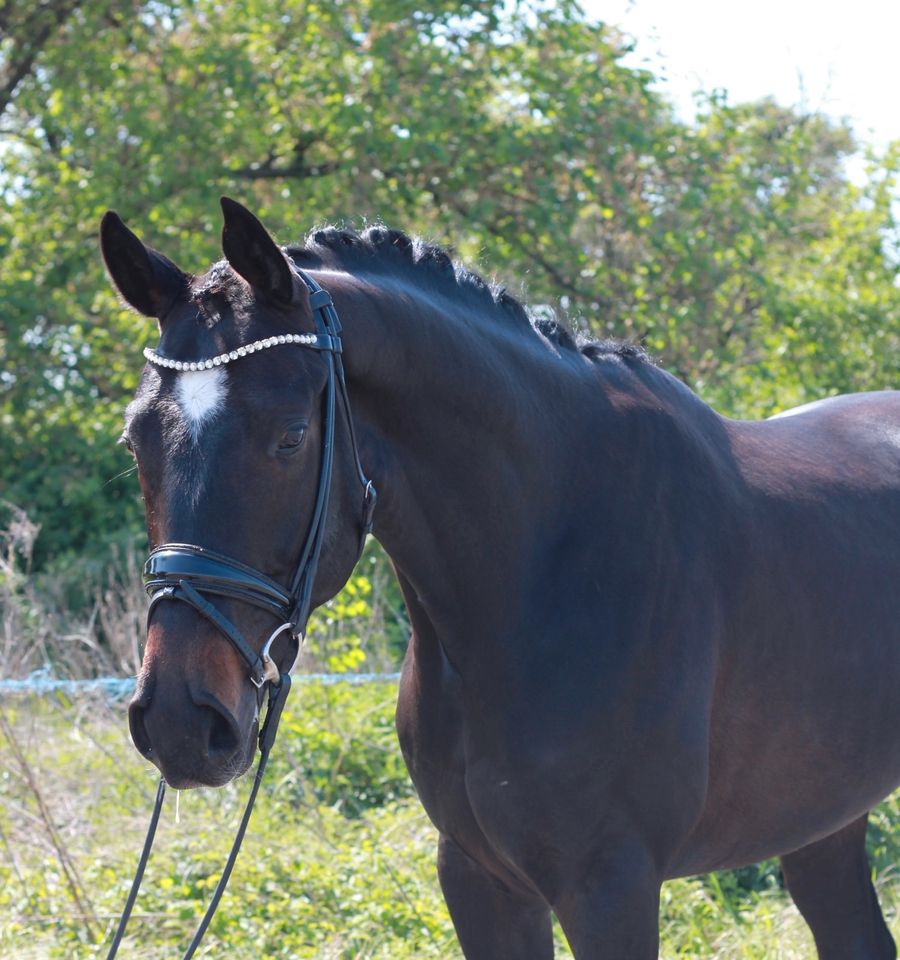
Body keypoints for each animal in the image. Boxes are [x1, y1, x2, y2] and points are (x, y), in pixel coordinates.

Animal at [100, 199, 900, 956]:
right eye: (137, 440)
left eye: (291, 437)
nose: (178, 720)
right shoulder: (478, 877)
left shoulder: (610, 887)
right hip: (822, 819)